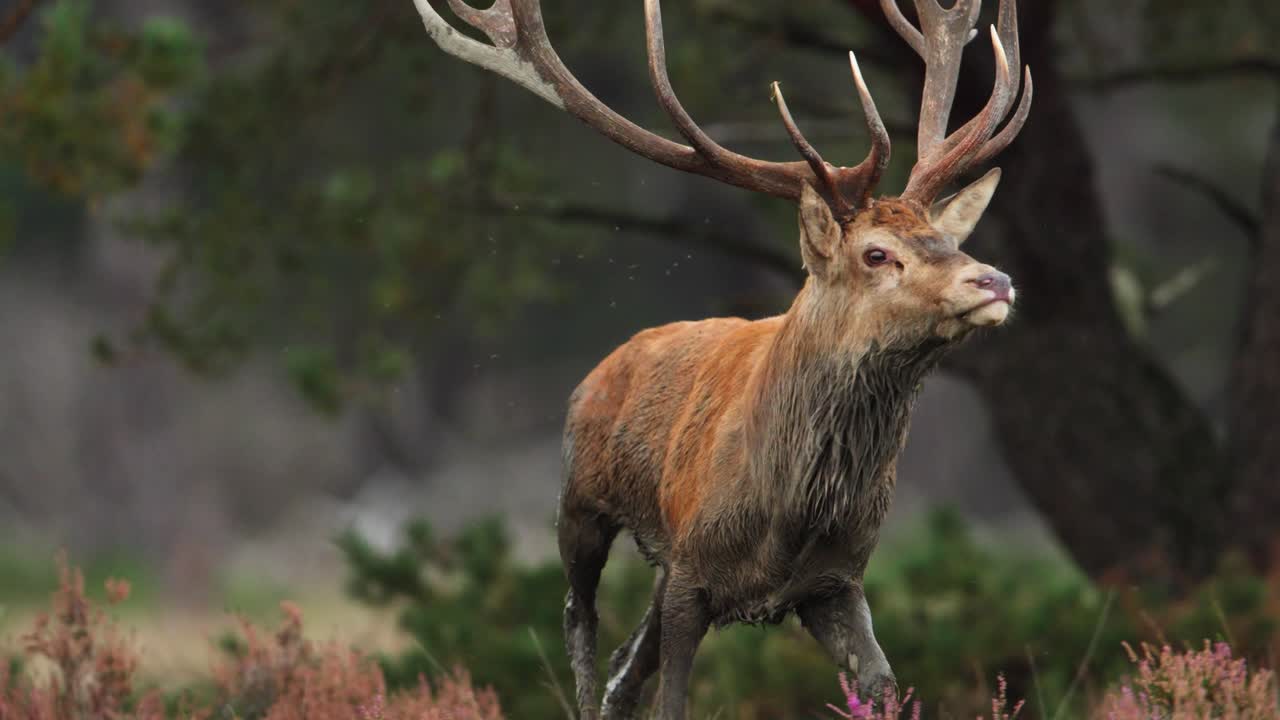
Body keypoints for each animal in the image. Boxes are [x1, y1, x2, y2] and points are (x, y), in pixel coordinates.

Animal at [410, 0, 1031, 718]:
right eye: (877, 253)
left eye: (944, 238)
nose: (995, 280)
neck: (787, 514)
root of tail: (605, 364)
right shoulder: (691, 574)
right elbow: (671, 698)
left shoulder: (838, 579)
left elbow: (883, 688)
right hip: (581, 501)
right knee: (582, 628)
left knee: (625, 665)